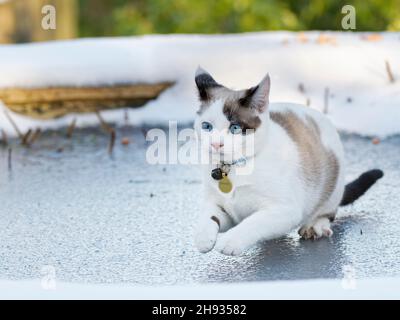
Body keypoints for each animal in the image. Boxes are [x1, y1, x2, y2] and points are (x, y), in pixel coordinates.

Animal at [194, 68, 384, 258]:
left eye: (234, 128)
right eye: (206, 126)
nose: (215, 144)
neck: (232, 167)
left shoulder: (285, 210)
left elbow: (253, 221)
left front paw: (230, 241)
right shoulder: (223, 208)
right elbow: (208, 216)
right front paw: (203, 238)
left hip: (333, 183)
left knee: (328, 211)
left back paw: (315, 226)